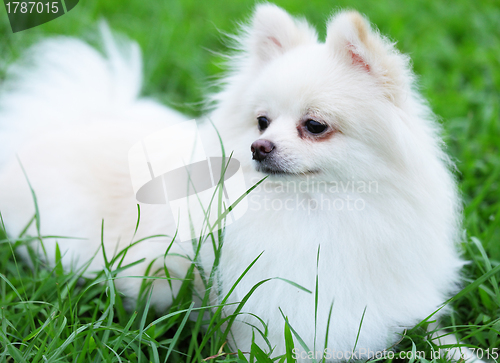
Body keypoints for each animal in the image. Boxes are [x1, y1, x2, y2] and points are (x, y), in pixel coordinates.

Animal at [0, 3, 484, 363]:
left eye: (314, 125)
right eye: (262, 121)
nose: (259, 146)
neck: (317, 209)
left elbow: (431, 334)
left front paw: (462, 352)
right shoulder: (273, 322)